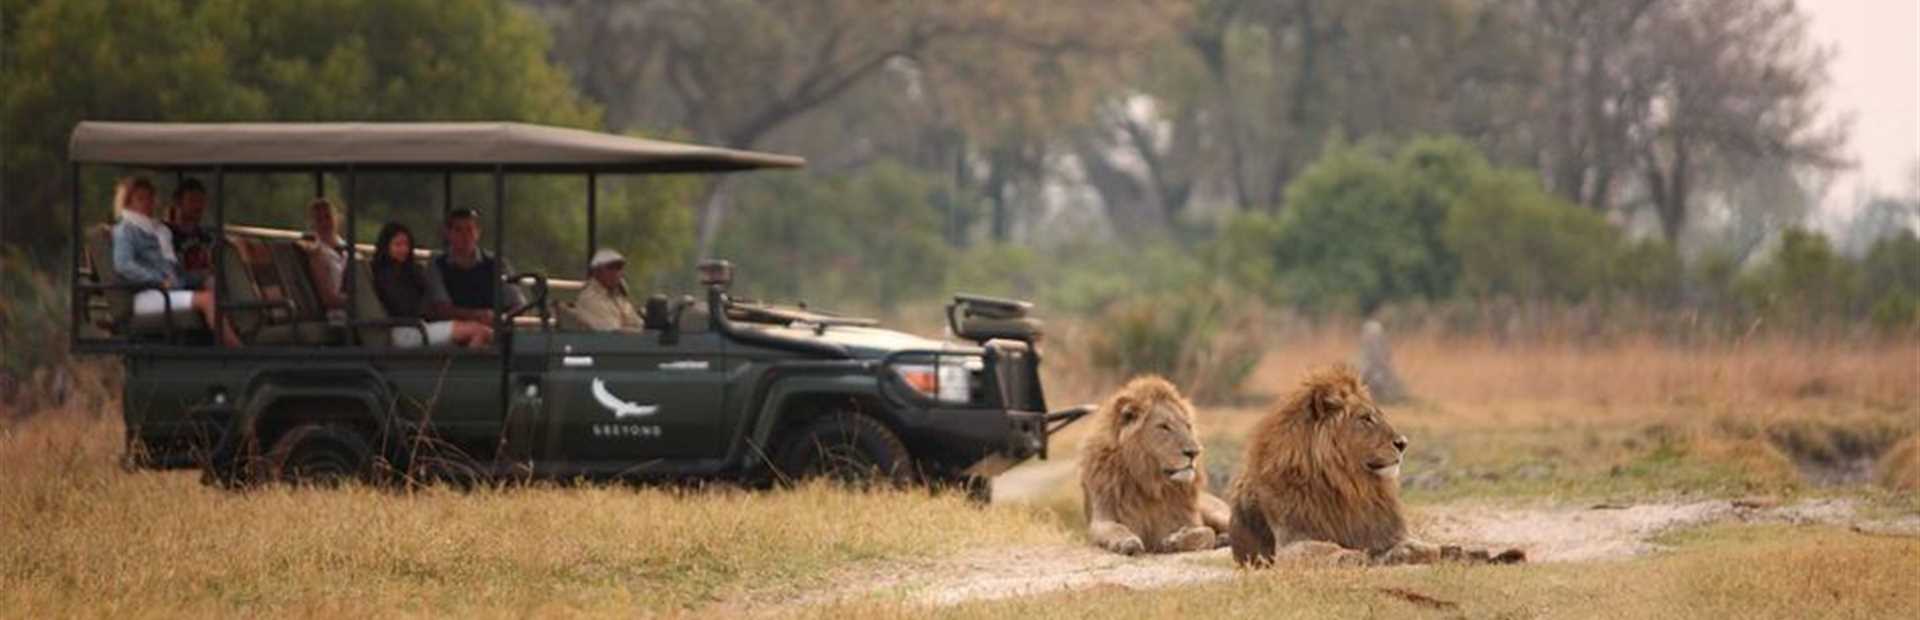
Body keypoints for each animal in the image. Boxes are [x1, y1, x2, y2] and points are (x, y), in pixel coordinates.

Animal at [1082, 376, 1228, 556]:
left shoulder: (1188, 520)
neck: (1152, 482)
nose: (1194, 452)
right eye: (1164, 426)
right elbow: (1115, 528)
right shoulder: (1101, 517)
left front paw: (1175, 541)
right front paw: (1127, 541)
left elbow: (1207, 533)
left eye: (1188, 426)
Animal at [1228, 368, 1528, 568]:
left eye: (1379, 415)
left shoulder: (1388, 530)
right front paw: (1365, 556)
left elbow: (1425, 547)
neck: (1351, 485)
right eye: (1366, 418)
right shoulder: (1290, 543)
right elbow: (1330, 550)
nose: (1403, 443)